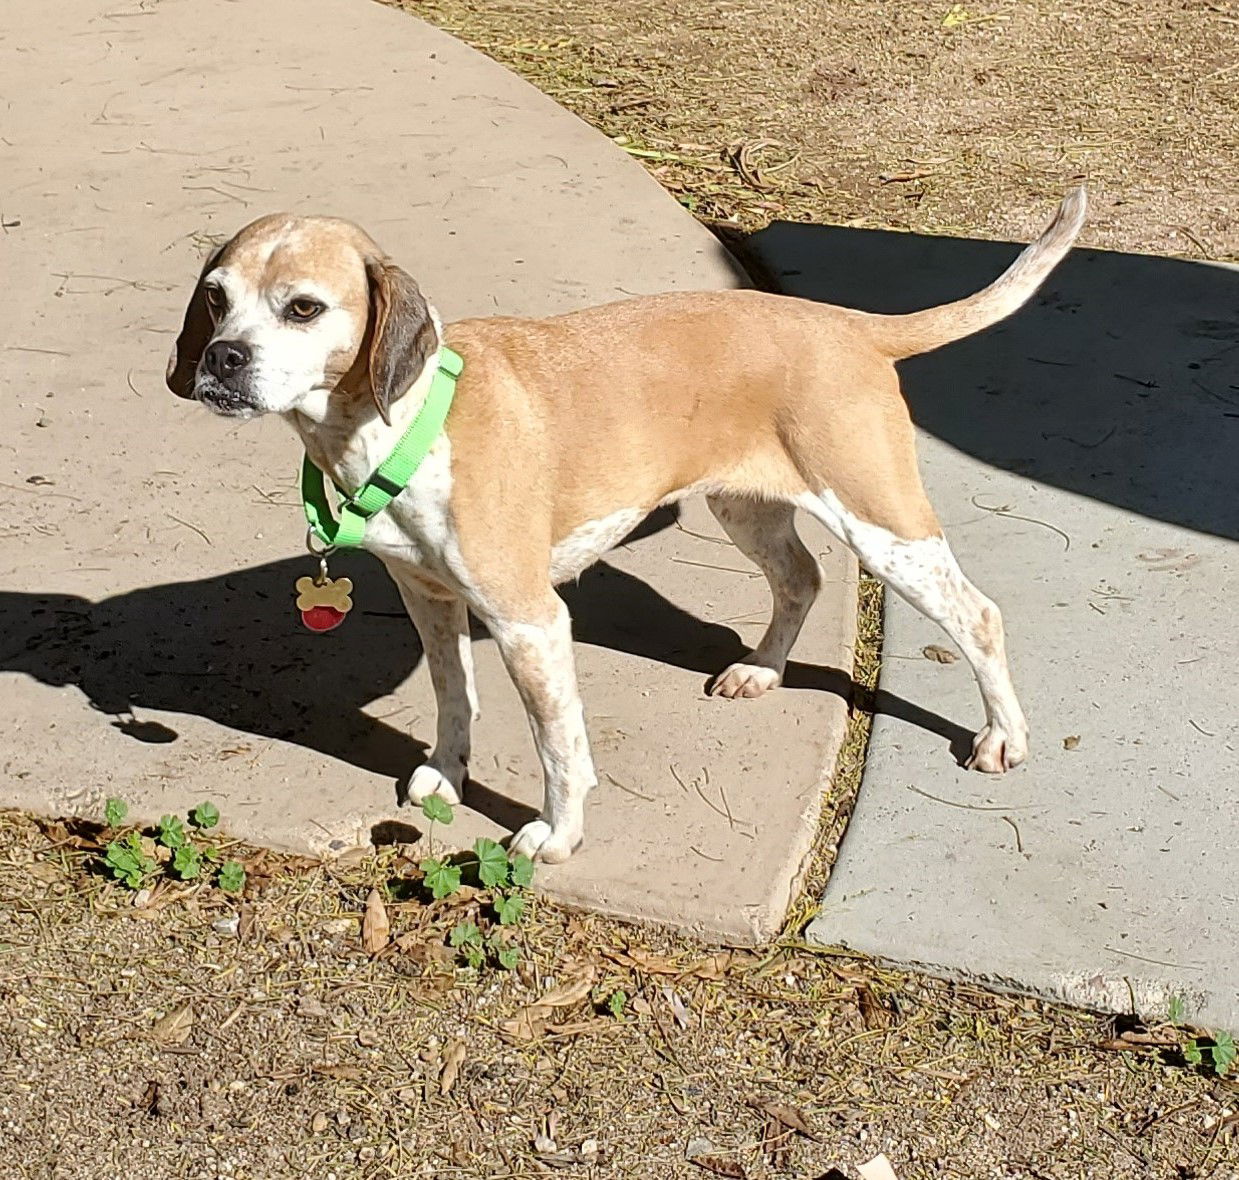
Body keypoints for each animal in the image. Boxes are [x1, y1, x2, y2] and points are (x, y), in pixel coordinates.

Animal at [172, 188, 1085, 862]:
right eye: (216, 298)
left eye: (303, 308)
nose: (220, 359)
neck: (401, 422)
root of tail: (847, 324)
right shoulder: (430, 597)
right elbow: (451, 697)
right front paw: (445, 776)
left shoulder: (531, 622)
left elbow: (558, 749)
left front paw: (556, 835)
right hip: (745, 507)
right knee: (802, 579)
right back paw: (760, 671)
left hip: (885, 527)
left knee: (977, 614)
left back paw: (1001, 737)